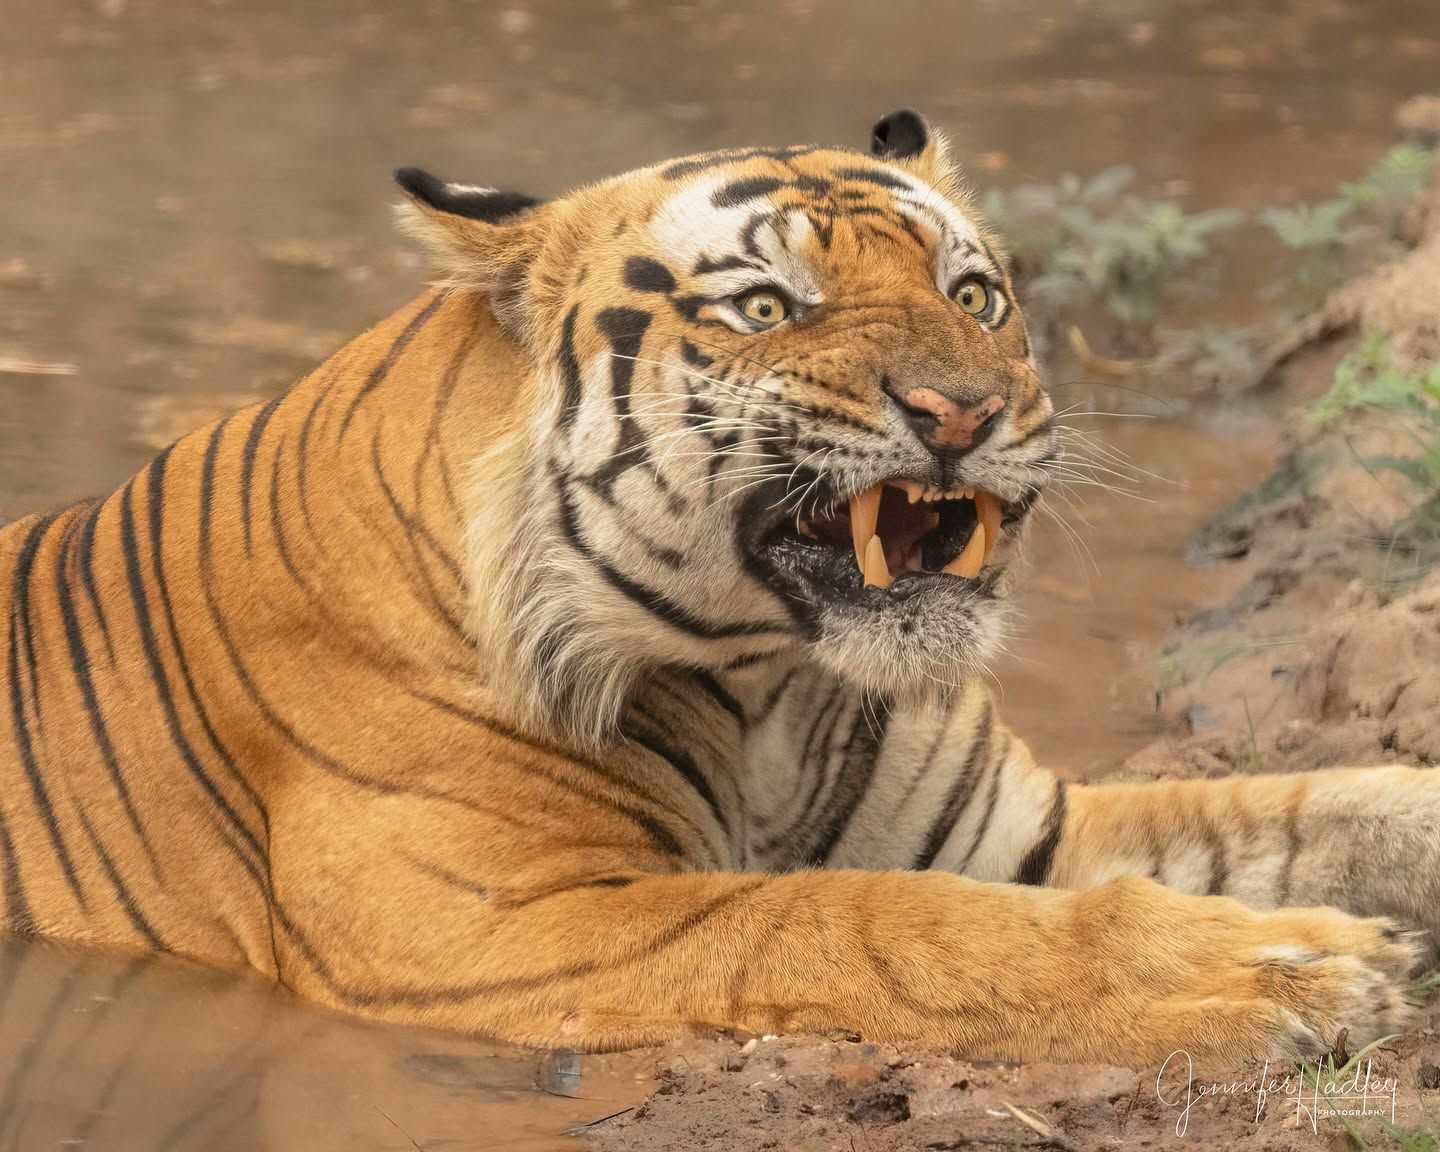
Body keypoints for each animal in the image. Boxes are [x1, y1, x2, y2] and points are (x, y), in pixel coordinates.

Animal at [1, 108, 1437, 1066]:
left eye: (974, 295)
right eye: (765, 310)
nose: (965, 411)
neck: (773, 685)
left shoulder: (1022, 829)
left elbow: (1325, 807)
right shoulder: (502, 926)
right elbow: (870, 919)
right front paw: (1299, 973)